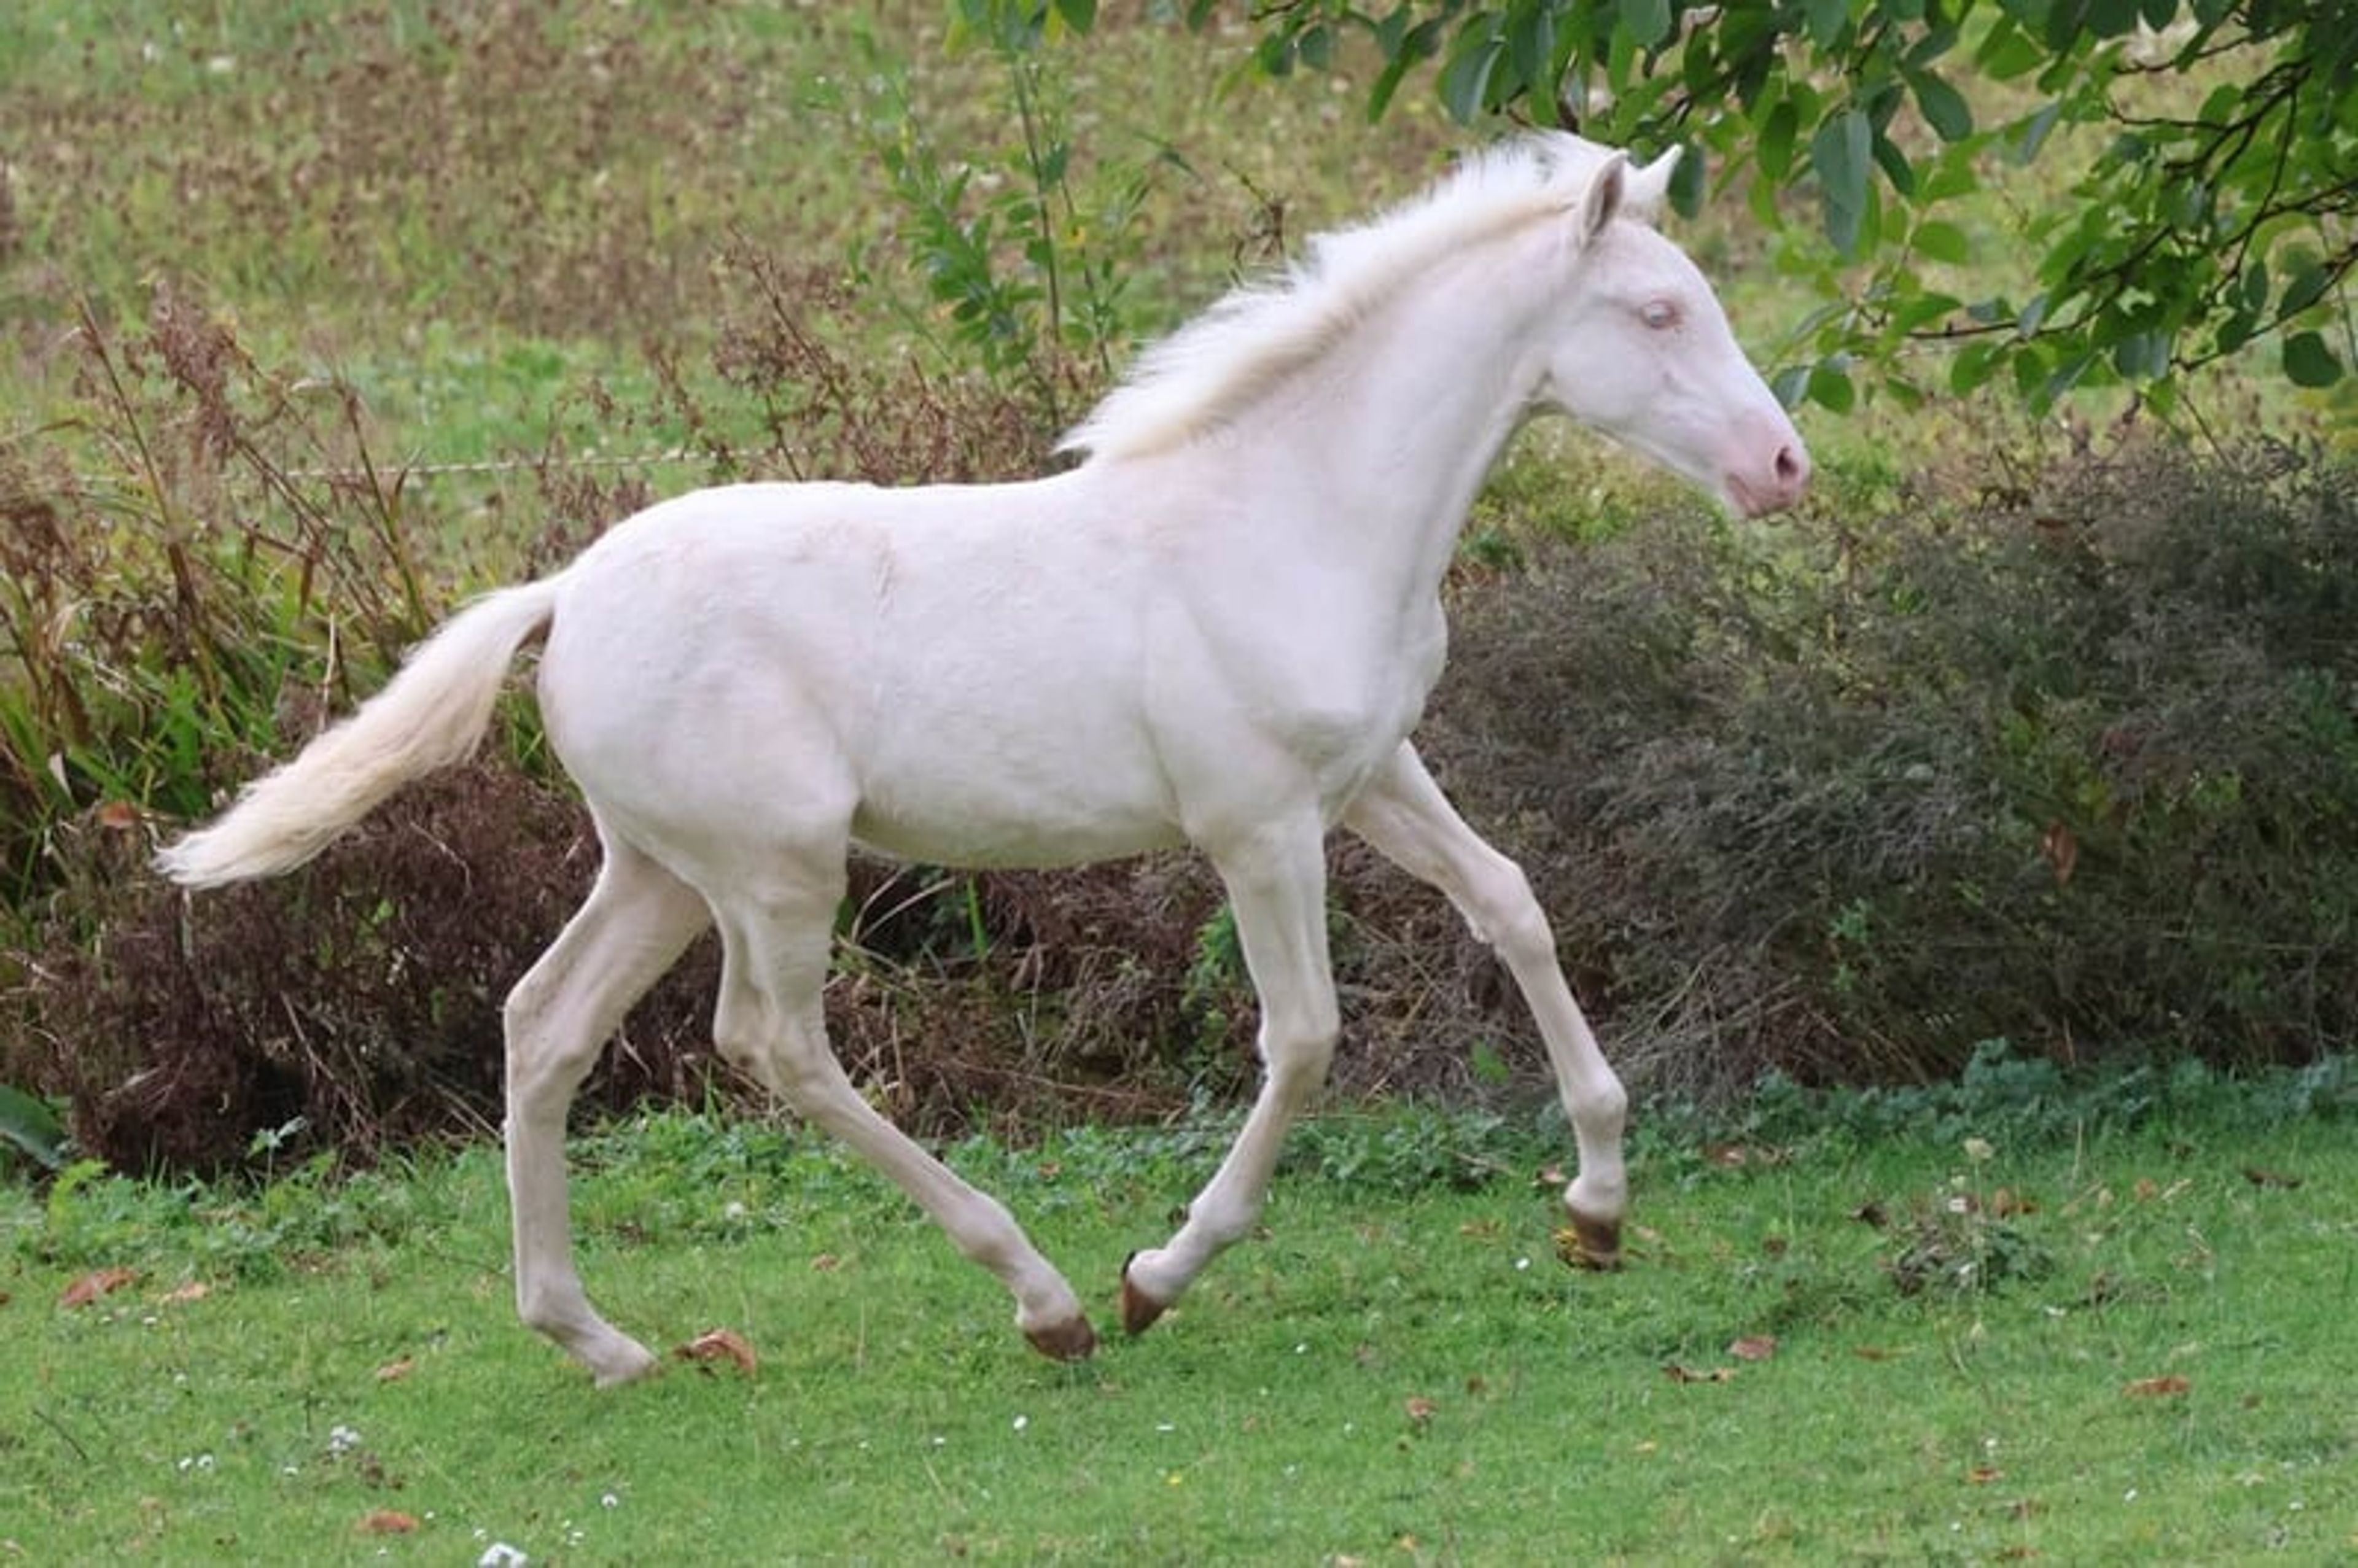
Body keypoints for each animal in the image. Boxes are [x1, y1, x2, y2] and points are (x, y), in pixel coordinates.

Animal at [157, 131, 1809, 1386]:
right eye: (1656, 313)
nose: (1783, 464)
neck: (1289, 515)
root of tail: (564, 592)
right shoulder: (1259, 825)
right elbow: (1305, 1037)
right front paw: (1158, 1270)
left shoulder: (1375, 776)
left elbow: (1513, 903)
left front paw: (1596, 1204)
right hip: (774, 869)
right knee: (773, 1046)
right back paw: (1045, 1296)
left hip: (660, 870)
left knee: (543, 1026)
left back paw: (601, 1340)